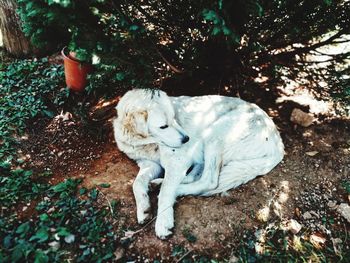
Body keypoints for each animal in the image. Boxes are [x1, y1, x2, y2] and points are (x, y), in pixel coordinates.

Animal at [113, 88, 284, 239]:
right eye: (163, 126)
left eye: (174, 118)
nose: (186, 139)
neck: (147, 142)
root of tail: (278, 142)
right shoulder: (149, 163)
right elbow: (136, 183)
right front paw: (143, 208)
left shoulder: (178, 161)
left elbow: (166, 192)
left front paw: (163, 222)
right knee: (197, 174)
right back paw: (157, 183)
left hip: (214, 134)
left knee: (209, 181)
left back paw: (174, 190)